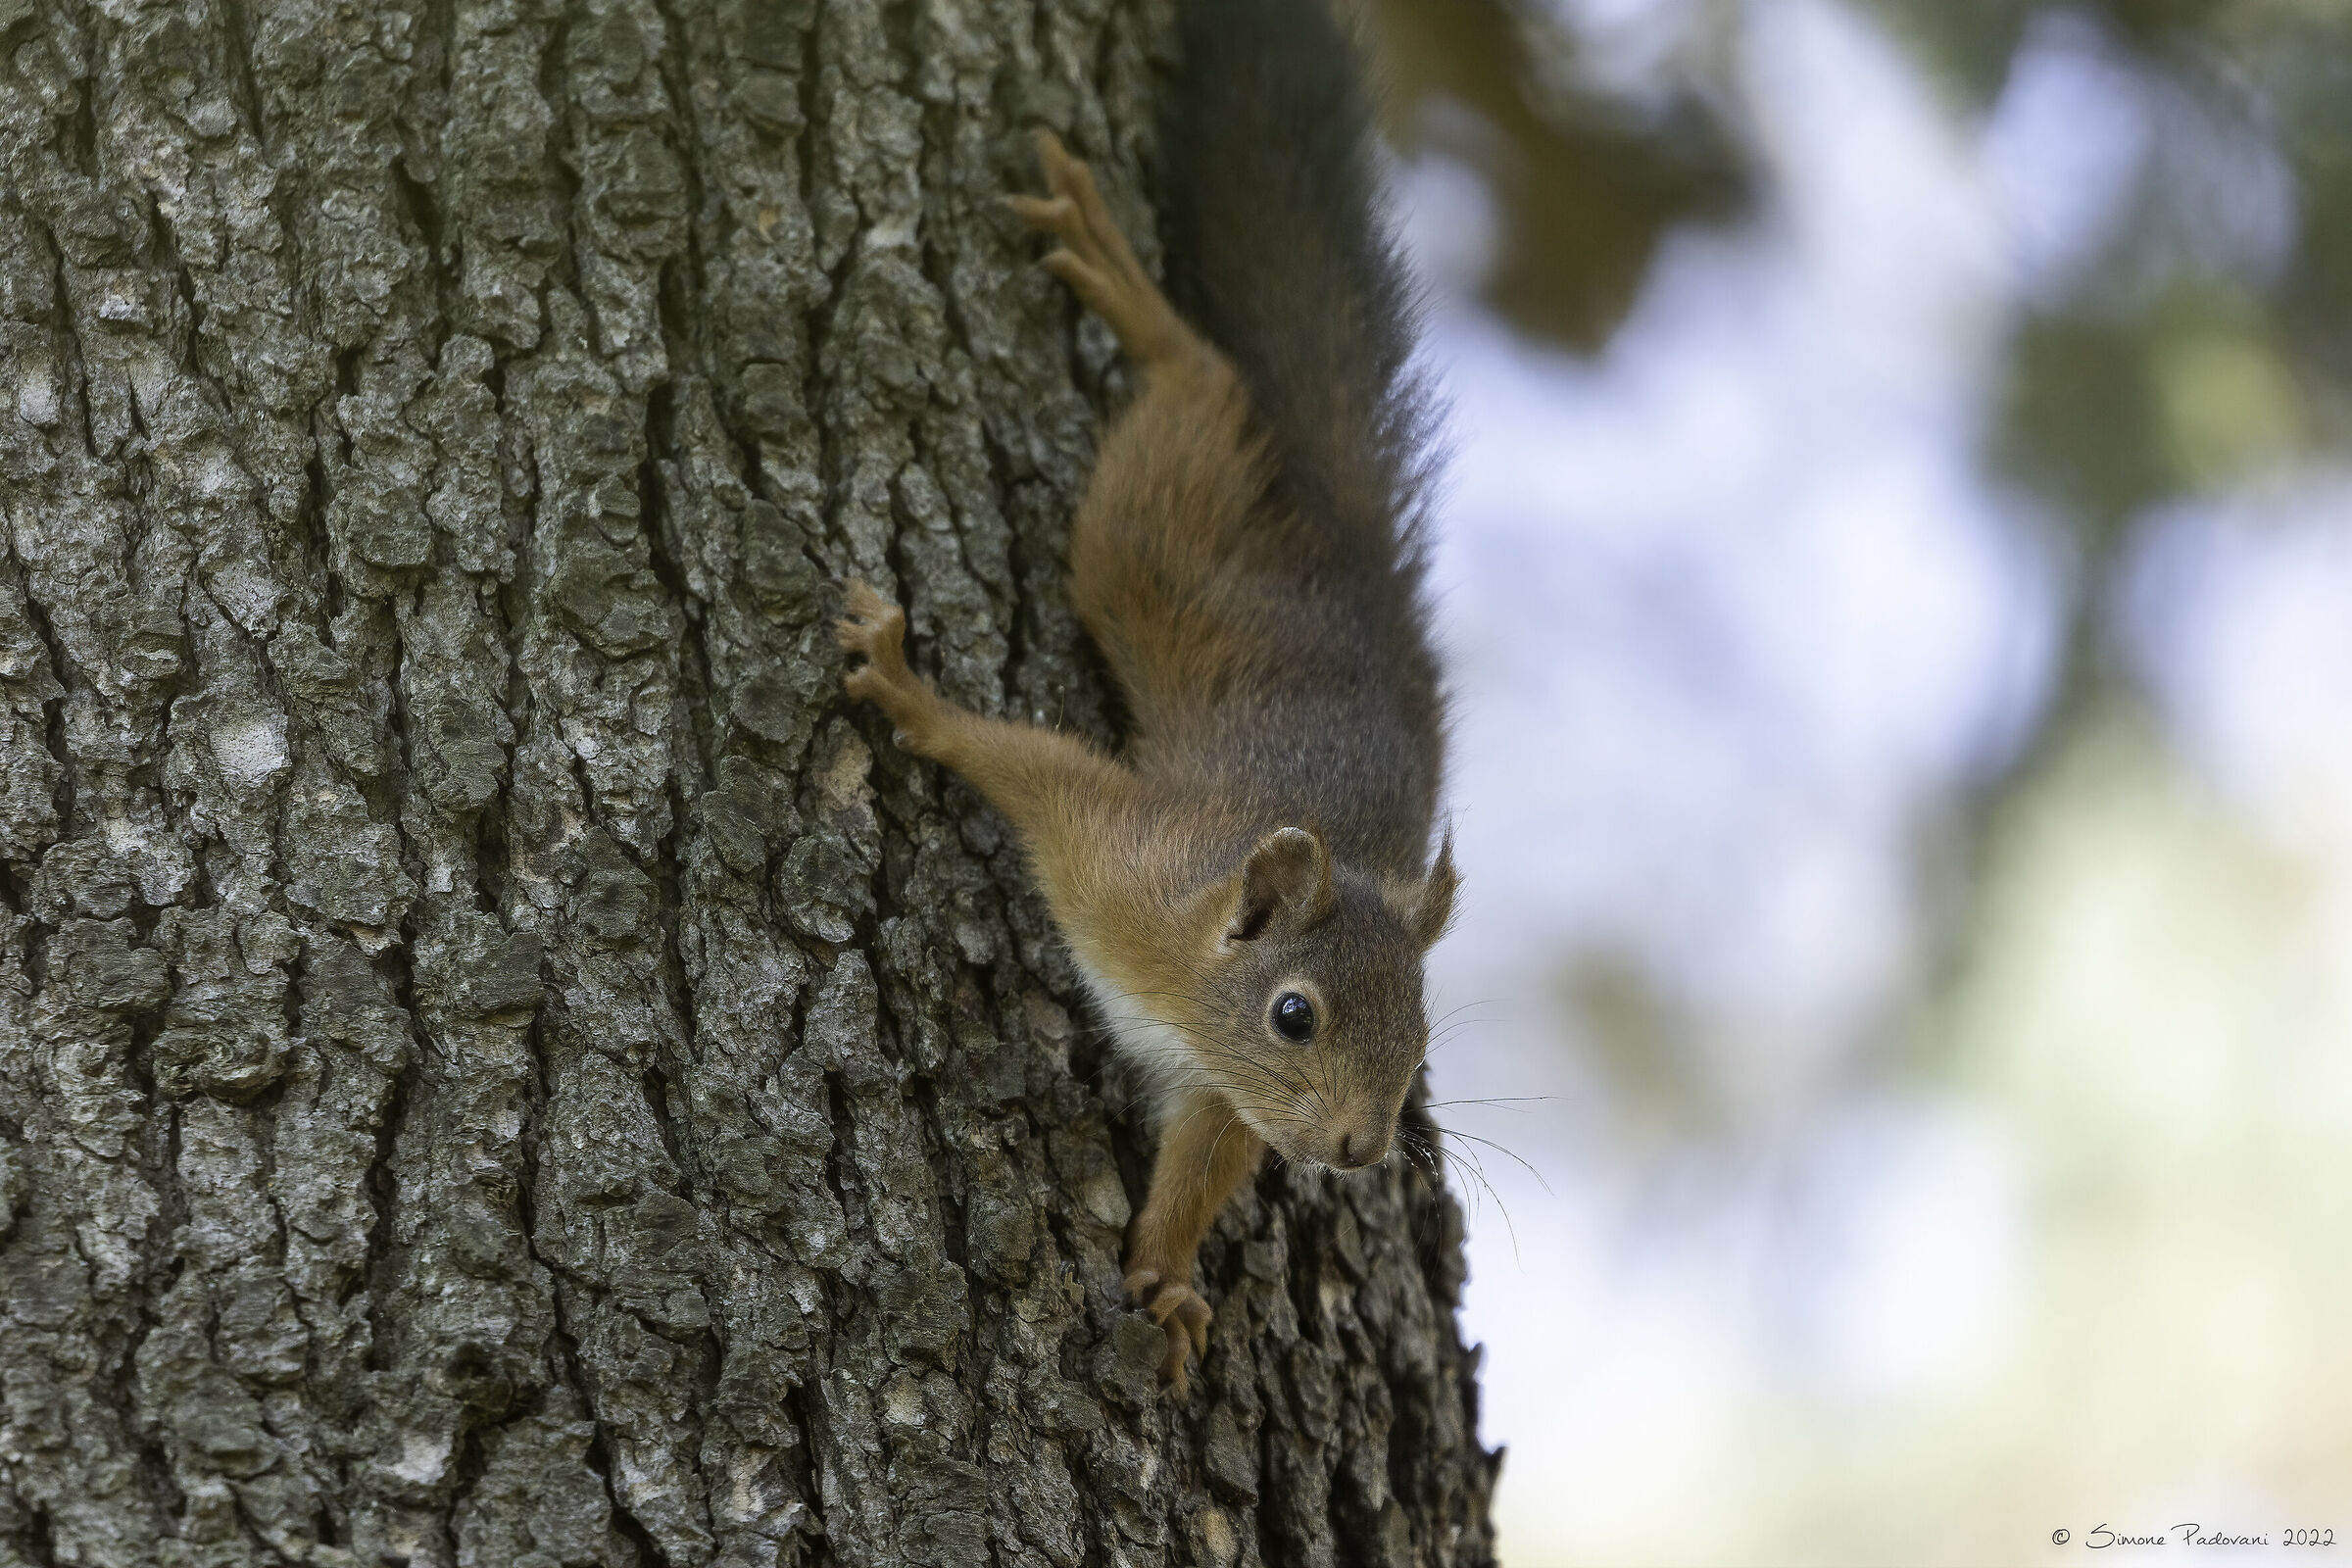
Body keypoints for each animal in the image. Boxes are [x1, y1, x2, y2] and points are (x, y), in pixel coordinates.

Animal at [836, 0, 1452, 1397]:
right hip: (1155, 548)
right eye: (1295, 1013)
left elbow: (1199, 1169)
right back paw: (1140, 301)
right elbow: (1026, 763)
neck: (1186, 975)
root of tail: (1347, 563)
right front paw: (912, 693)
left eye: (1423, 1037)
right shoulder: (1115, 852)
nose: (1356, 1147)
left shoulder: (1218, 1091)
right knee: (1202, 390)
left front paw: (1164, 1280)